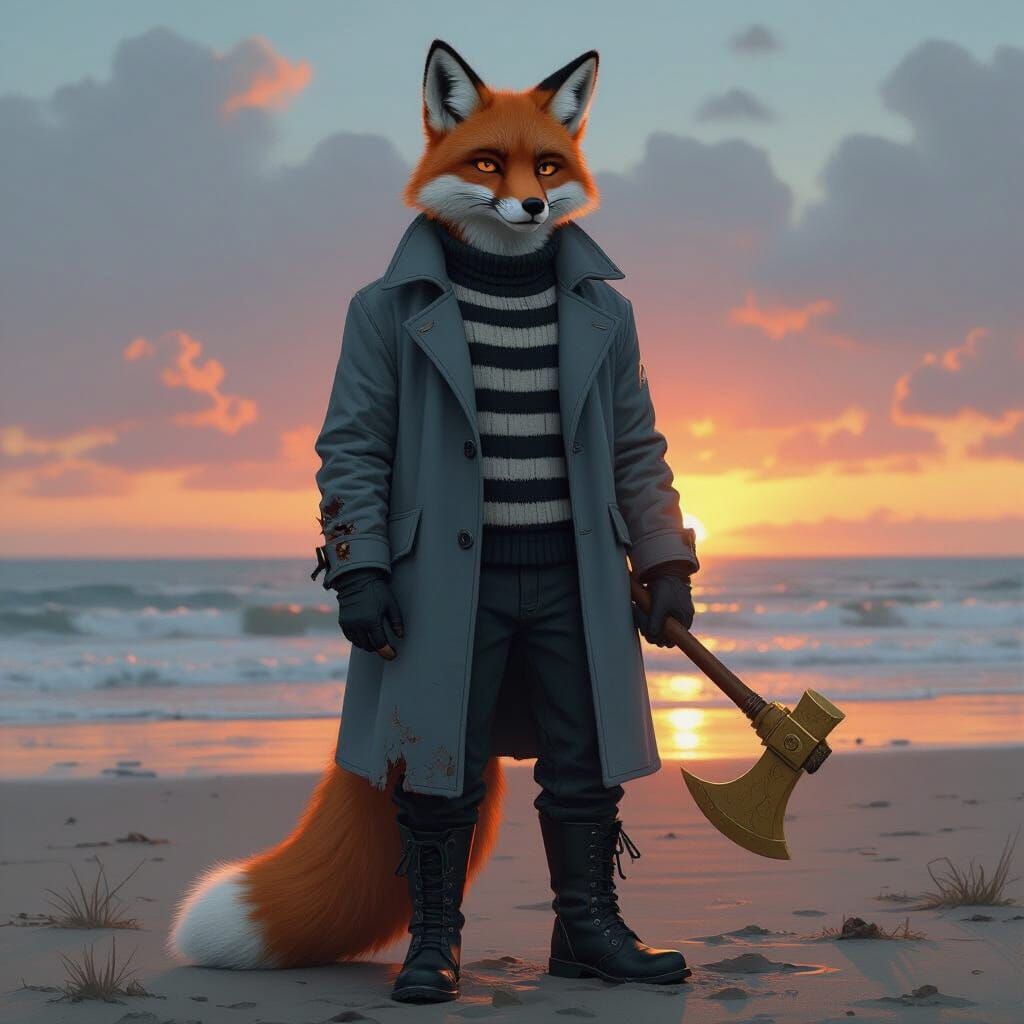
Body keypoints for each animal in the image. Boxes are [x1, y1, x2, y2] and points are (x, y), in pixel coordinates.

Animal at [169, 39, 672, 980]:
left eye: (548, 165)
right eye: (488, 163)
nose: (533, 204)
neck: (502, 276)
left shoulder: (620, 377)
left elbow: (638, 454)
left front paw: (671, 594)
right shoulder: (362, 359)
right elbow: (353, 445)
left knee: (575, 792)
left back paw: (591, 951)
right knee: (442, 804)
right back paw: (433, 964)